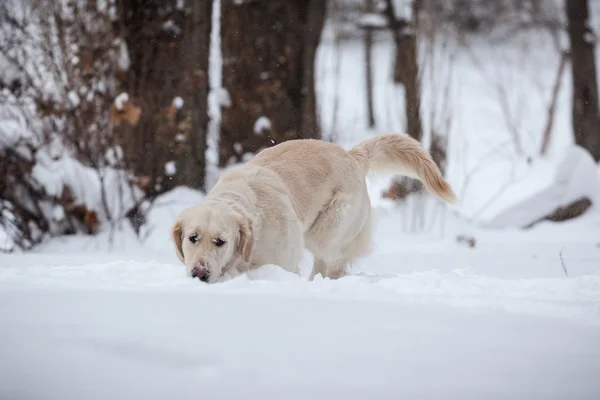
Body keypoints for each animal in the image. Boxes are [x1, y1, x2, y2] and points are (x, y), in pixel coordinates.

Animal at [171, 134, 458, 282]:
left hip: (328, 230)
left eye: (220, 241)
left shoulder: (282, 262)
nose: (198, 274)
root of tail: (351, 155)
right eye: (192, 238)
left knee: (336, 262)